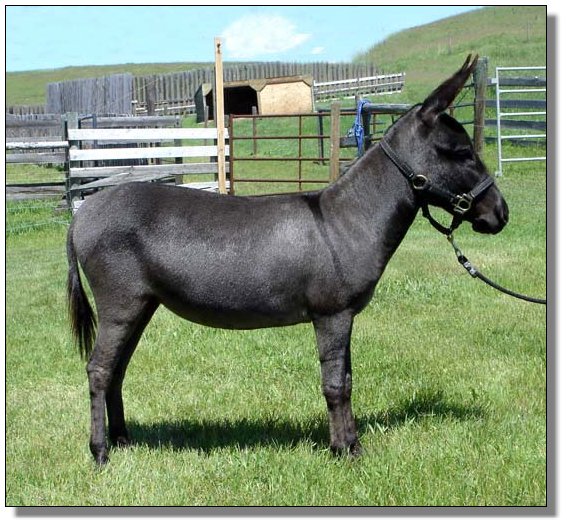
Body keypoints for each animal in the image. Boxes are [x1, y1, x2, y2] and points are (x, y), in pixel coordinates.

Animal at [67, 55, 509, 465]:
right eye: (462, 153)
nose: (501, 214)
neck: (348, 217)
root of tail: (83, 213)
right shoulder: (333, 315)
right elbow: (336, 384)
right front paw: (345, 452)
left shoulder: (343, 316)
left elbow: (347, 378)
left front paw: (351, 445)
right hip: (121, 304)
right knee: (99, 369)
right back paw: (100, 452)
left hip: (142, 305)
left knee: (117, 369)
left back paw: (123, 441)